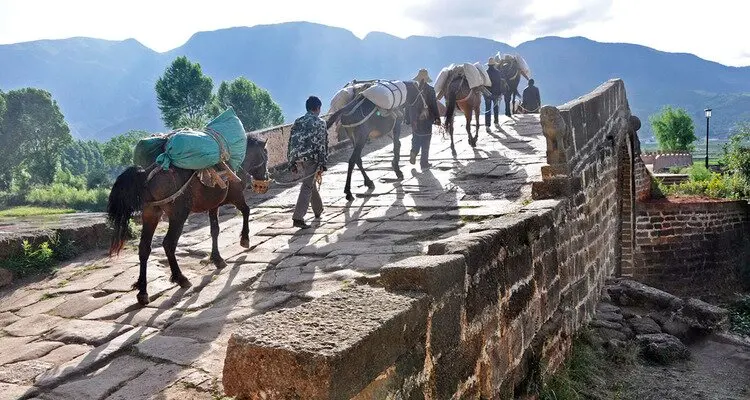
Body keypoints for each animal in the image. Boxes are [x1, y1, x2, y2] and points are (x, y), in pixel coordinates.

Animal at [106, 135, 270, 306]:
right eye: (265, 156)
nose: (265, 179)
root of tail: (146, 174)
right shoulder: (236, 196)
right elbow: (246, 211)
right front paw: (244, 239)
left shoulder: (213, 205)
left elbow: (215, 230)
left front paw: (217, 259)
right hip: (178, 215)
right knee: (168, 244)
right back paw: (181, 278)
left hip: (151, 214)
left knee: (144, 247)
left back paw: (143, 291)